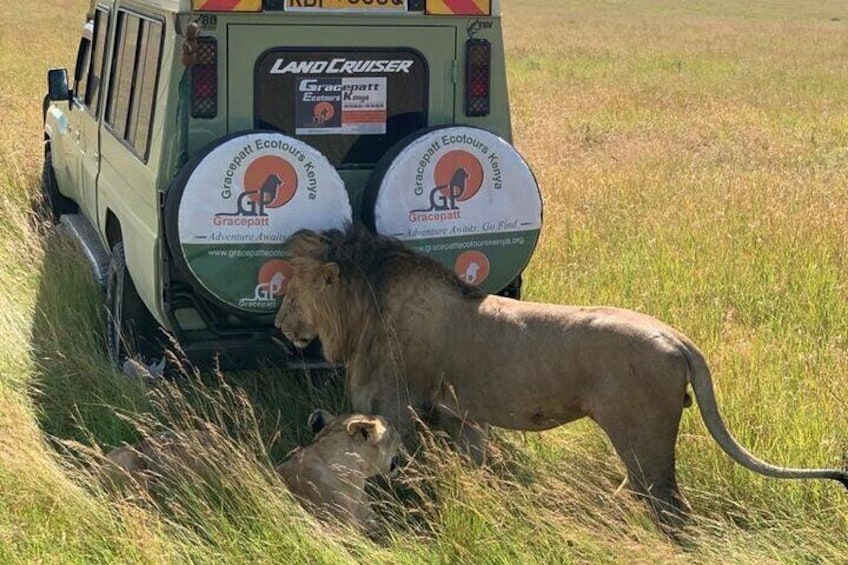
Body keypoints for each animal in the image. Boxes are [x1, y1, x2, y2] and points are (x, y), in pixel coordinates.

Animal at [274, 225, 848, 526]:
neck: (361, 310)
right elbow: (472, 461)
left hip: (642, 435)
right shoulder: (463, 415)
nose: (279, 325)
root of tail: (677, 338)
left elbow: (404, 464)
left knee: (667, 503)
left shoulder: (399, 405)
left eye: (290, 292)